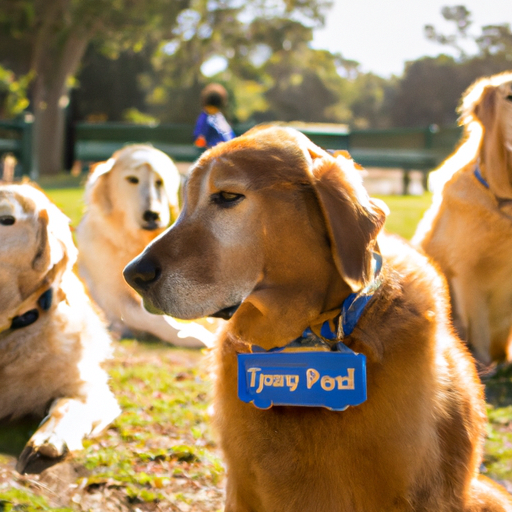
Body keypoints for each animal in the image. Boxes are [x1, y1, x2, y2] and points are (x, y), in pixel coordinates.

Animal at [76, 146, 214, 350]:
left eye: (160, 182)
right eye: (132, 179)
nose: (152, 215)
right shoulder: (112, 295)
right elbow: (151, 316)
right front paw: (196, 335)